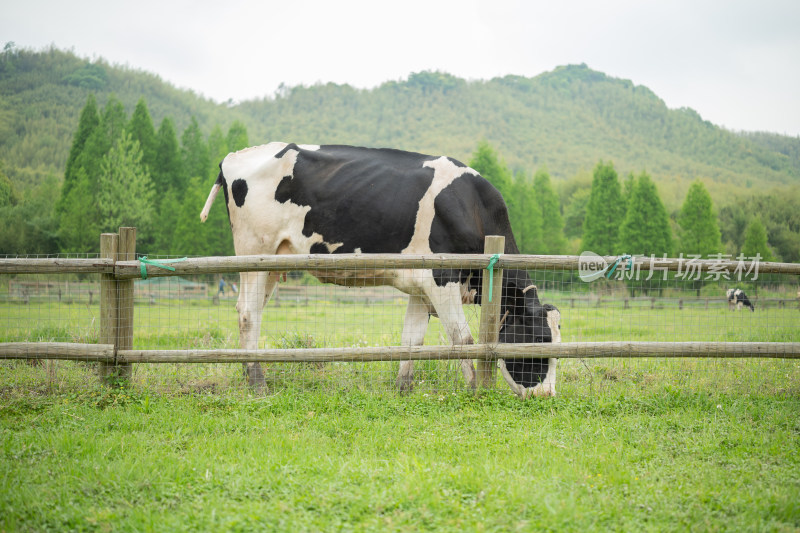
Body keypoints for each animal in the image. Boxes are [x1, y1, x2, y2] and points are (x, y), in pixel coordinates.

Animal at [202, 143, 564, 396]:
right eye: (539, 339)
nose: (547, 395)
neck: (472, 207)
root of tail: (233, 157)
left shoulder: (421, 286)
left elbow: (412, 341)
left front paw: (403, 389)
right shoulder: (442, 279)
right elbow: (463, 339)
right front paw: (474, 390)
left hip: (274, 261)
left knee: (251, 310)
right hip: (254, 252)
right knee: (248, 313)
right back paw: (258, 384)